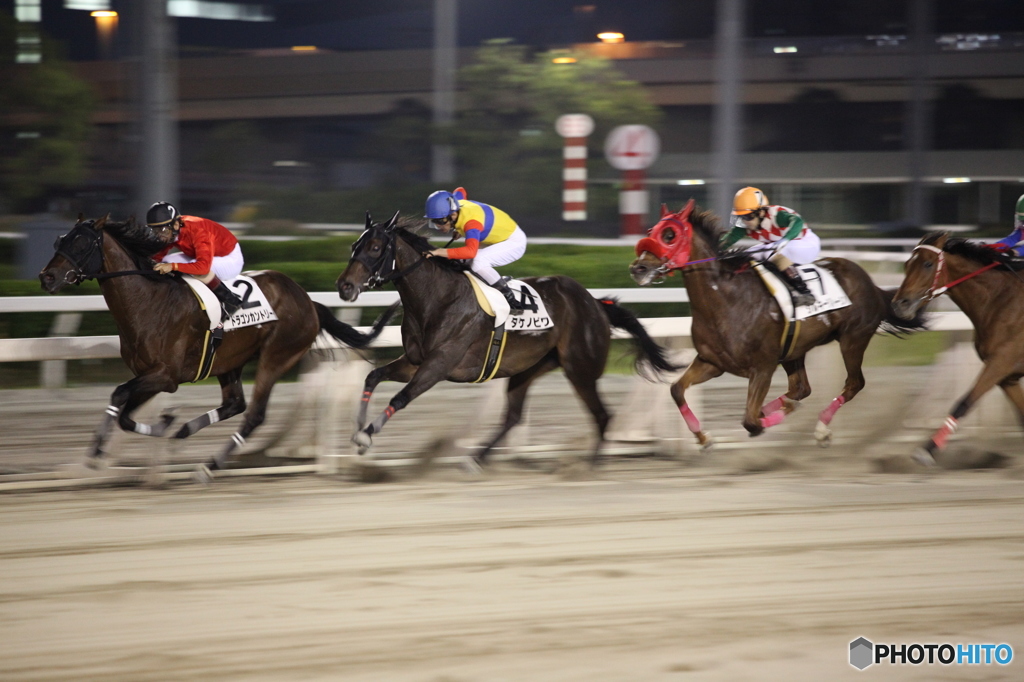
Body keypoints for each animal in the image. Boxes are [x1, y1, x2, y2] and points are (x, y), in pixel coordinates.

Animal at [37, 215, 395, 475]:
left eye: (81, 242)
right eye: (60, 240)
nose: (46, 277)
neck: (150, 302)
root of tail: (307, 300)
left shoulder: (166, 376)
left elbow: (118, 395)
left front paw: (98, 450)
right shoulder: (150, 375)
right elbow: (124, 413)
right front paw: (164, 425)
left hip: (276, 355)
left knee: (253, 414)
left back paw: (210, 465)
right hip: (229, 360)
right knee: (235, 403)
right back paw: (185, 431)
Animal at [333, 214, 679, 466]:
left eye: (375, 248)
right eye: (353, 245)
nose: (345, 287)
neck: (437, 297)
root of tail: (595, 303)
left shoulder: (439, 364)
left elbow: (401, 398)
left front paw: (365, 435)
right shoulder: (415, 361)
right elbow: (373, 376)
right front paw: (358, 430)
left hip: (581, 368)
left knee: (602, 415)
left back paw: (588, 466)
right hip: (529, 368)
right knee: (513, 416)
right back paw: (476, 459)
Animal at [626, 199, 925, 448]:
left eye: (669, 235)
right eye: (652, 229)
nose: (638, 269)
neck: (726, 301)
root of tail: (871, 284)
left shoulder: (763, 367)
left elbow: (750, 422)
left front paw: (769, 417)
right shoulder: (711, 363)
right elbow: (676, 390)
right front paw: (703, 437)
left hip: (853, 339)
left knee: (853, 384)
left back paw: (820, 429)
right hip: (794, 350)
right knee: (801, 388)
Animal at [892, 232, 1024, 462]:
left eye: (928, 264)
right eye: (907, 264)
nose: (900, 305)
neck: (1001, 301)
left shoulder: (1001, 362)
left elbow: (964, 402)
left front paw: (926, 450)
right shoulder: (1008, 376)